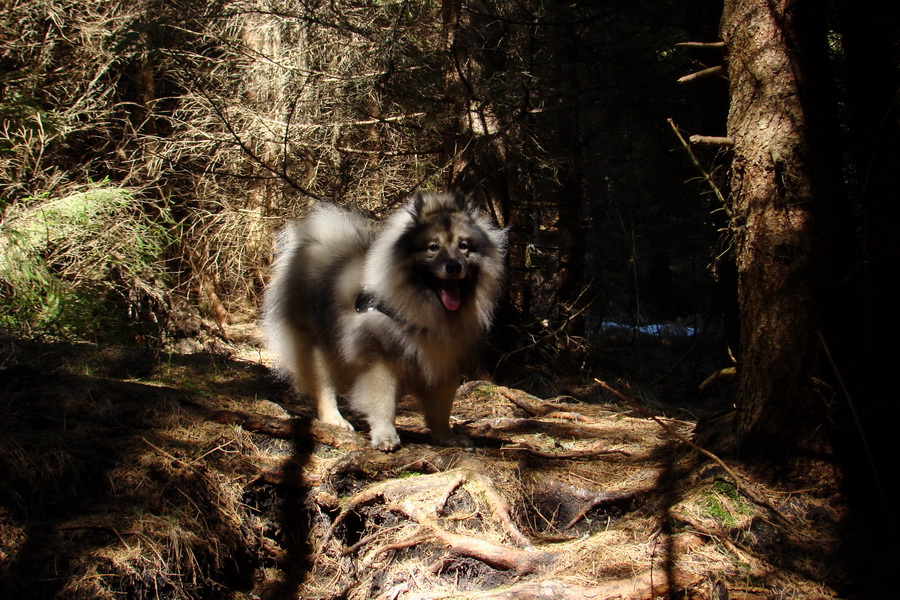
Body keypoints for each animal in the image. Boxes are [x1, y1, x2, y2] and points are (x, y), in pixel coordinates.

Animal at [264, 191, 510, 450]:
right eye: (433, 247)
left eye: (463, 246)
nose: (453, 266)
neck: (427, 312)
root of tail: (316, 244)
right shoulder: (381, 362)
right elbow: (383, 404)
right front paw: (385, 435)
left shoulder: (445, 365)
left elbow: (441, 409)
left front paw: (447, 436)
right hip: (316, 347)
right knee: (324, 386)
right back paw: (335, 419)